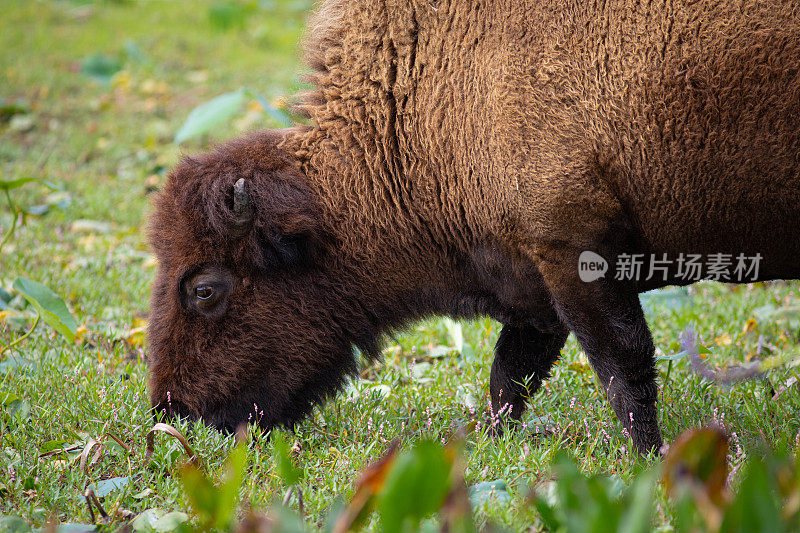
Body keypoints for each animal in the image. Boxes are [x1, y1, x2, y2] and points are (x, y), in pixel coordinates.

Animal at [147, 0, 800, 454]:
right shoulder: (533, 282)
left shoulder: (576, 253)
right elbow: (511, 376)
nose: (173, 413)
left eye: (205, 290)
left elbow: (623, 368)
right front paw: (493, 442)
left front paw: (649, 457)